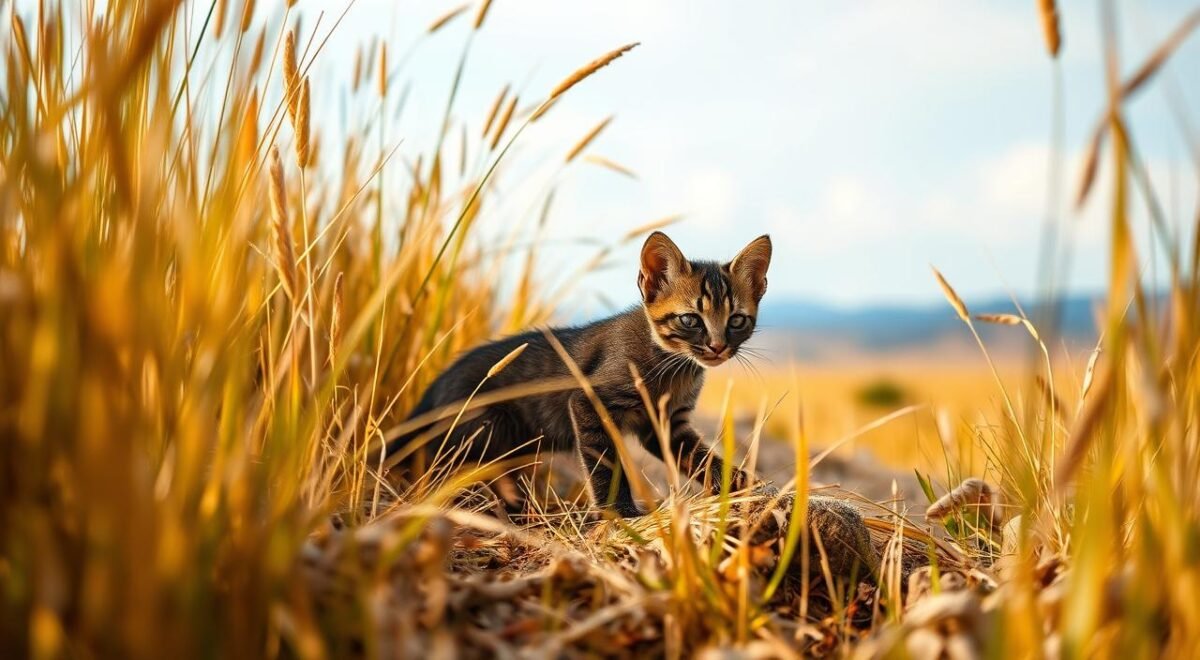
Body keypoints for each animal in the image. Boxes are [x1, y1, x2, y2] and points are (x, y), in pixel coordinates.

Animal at [388, 232, 772, 518]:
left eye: (736, 320)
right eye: (691, 319)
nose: (717, 347)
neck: (672, 365)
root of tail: (435, 387)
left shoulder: (666, 423)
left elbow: (700, 458)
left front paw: (743, 483)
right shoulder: (589, 402)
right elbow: (604, 463)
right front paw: (620, 512)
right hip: (483, 430)